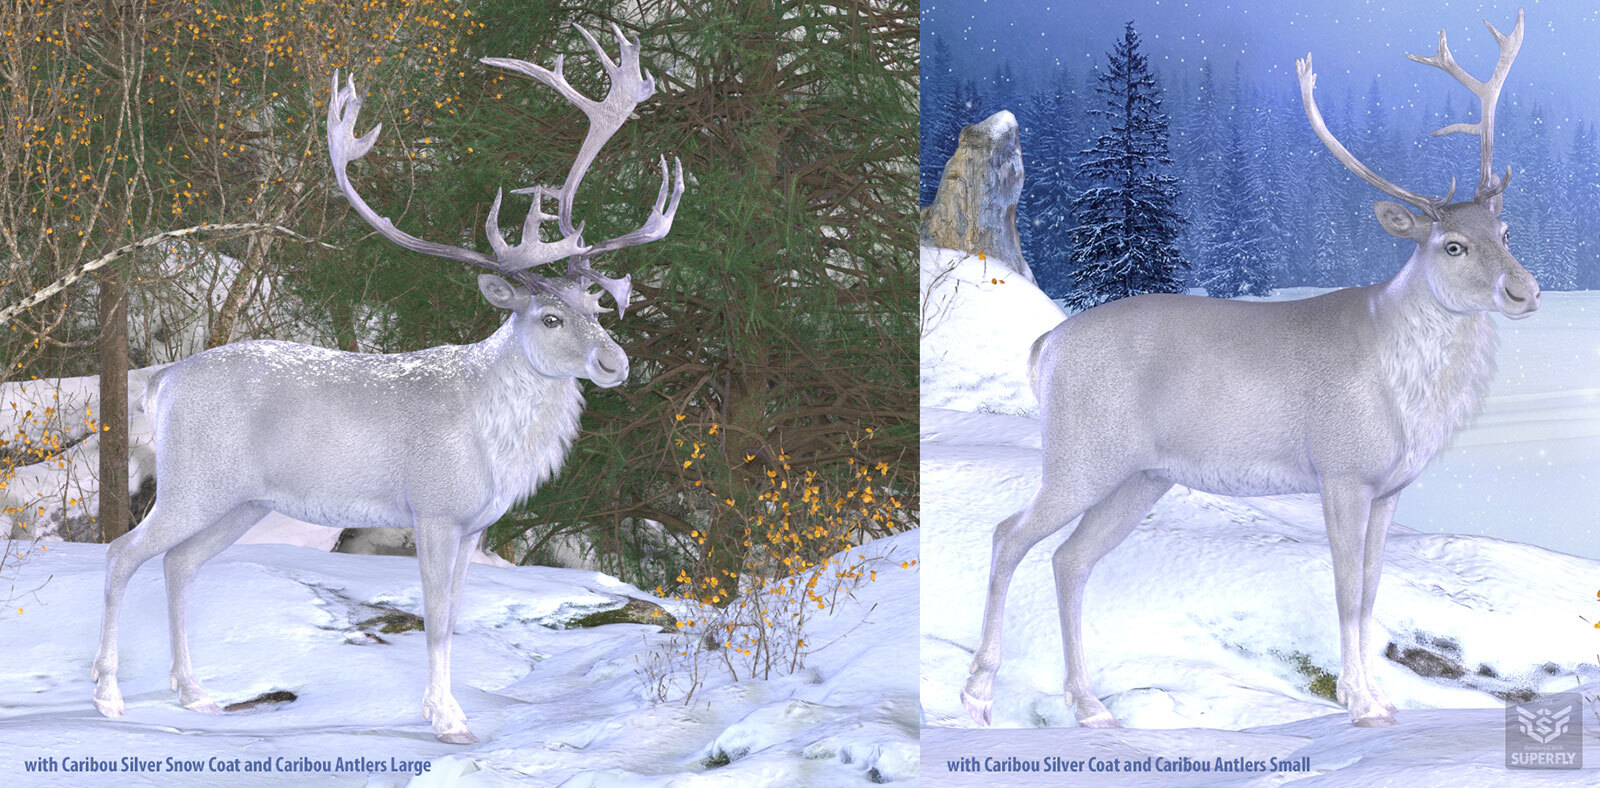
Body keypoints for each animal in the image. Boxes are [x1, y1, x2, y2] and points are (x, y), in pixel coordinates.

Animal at [90, 24, 683, 744]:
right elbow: (435, 619)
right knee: (121, 552)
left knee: (179, 564)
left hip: (243, 500)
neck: (492, 440)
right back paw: (109, 697)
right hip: (196, 481)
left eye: (597, 306)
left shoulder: (474, 523)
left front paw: (449, 712)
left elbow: (454, 611)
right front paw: (448, 720)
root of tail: (164, 380)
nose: (615, 364)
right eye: (548, 316)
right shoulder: (432, 507)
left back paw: (195, 693)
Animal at [960, 10, 1536, 730]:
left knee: (1070, 559)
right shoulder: (1341, 471)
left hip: (1141, 478)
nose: (1524, 290)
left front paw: (1380, 698)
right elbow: (1347, 589)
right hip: (1079, 456)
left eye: (1506, 233)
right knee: (1009, 535)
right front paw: (1359, 704)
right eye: (1452, 245)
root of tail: (1045, 347)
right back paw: (978, 693)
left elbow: (1373, 590)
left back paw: (1090, 707)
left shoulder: (1389, 488)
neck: (1404, 391)